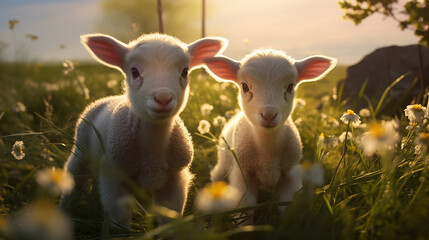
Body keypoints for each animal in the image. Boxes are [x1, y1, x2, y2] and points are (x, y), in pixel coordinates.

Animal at [59, 32, 227, 228]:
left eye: (185, 71)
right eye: (134, 71)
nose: (163, 98)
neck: (152, 151)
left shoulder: (175, 179)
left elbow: (169, 216)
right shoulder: (113, 176)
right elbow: (119, 219)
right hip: (81, 150)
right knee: (74, 181)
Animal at [202, 48, 336, 221]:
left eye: (290, 87)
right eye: (244, 87)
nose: (269, 115)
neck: (268, 152)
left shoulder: (289, 174)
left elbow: (286, 206)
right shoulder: (243, 173)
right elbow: (245, 209)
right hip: (225, 158)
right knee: (216, 173)